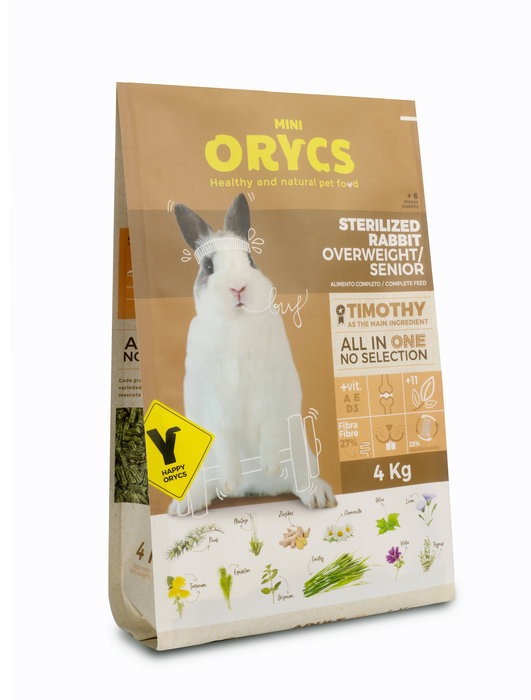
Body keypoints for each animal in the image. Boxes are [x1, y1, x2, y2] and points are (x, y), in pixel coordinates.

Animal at [169, 193, 337, 515]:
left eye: (250, 260)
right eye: (209, 267)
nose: (238, 287)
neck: (238, 324)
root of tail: (257, 489)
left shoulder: (270, 389)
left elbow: (268, 425)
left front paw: (269, 464)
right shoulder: (215, 401)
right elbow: (225, 436)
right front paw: (231, 479)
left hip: (301, 454)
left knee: (299, 481)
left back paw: (317, 495)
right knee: (208, 487)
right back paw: (190, 504)